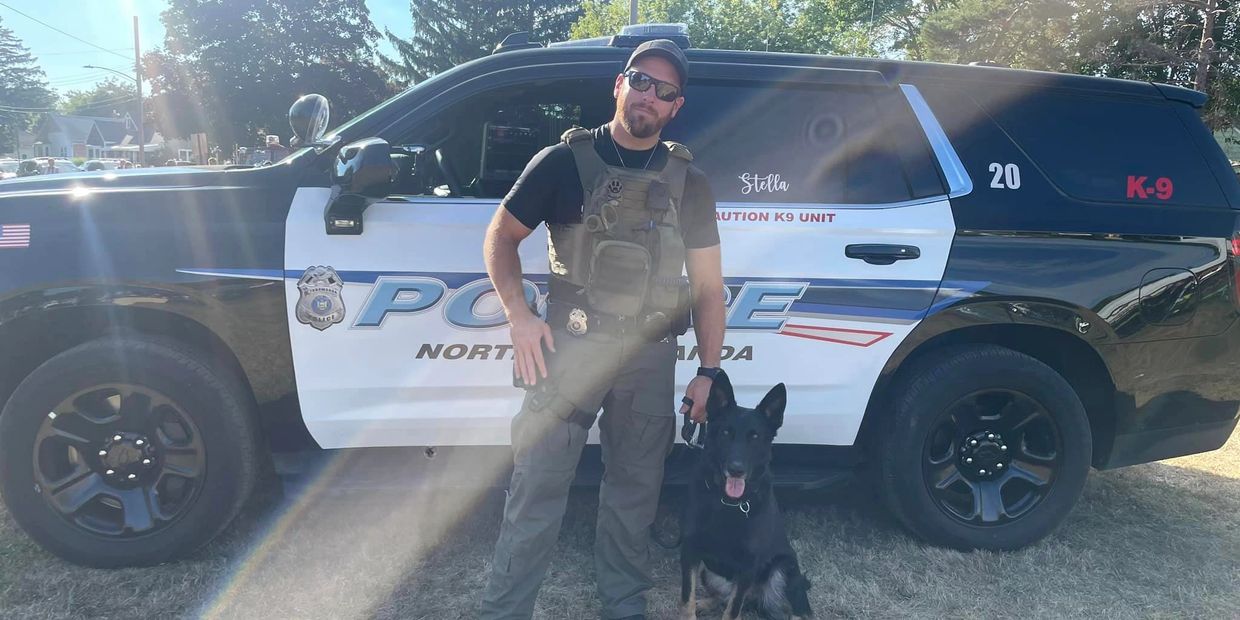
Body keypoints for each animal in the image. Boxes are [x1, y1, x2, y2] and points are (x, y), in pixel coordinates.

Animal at [679, 369, 813, 617]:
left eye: (755, 437)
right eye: (725, 433)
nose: (736, 469)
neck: (727, 502)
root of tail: (755, 597)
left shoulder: (748, 565)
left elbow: (732, 611)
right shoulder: (690, 551)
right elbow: (687, 601)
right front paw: (692, 607)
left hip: (782, 569)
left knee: (794, 612)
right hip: (708, 571)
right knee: (723, 598)